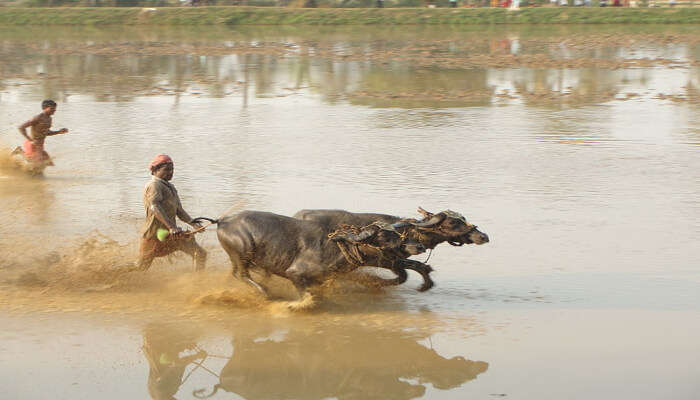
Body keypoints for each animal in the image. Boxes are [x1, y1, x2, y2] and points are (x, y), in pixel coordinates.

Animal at [215, 211, 426, 302]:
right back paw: (265, 293)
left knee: (236, 274)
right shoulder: (295, 274)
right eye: (385, 235)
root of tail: (223, 221)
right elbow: (307, 296)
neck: (336, 247)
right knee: (241, 274)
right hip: (242, 253)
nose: (420, 245)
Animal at [292, 206, 490, 290]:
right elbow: (406, 273)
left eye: (463, 219)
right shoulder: (384, 260)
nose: (483, 236)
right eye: (453, 223)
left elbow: (412, 269)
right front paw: (376, 282)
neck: (406, 231)